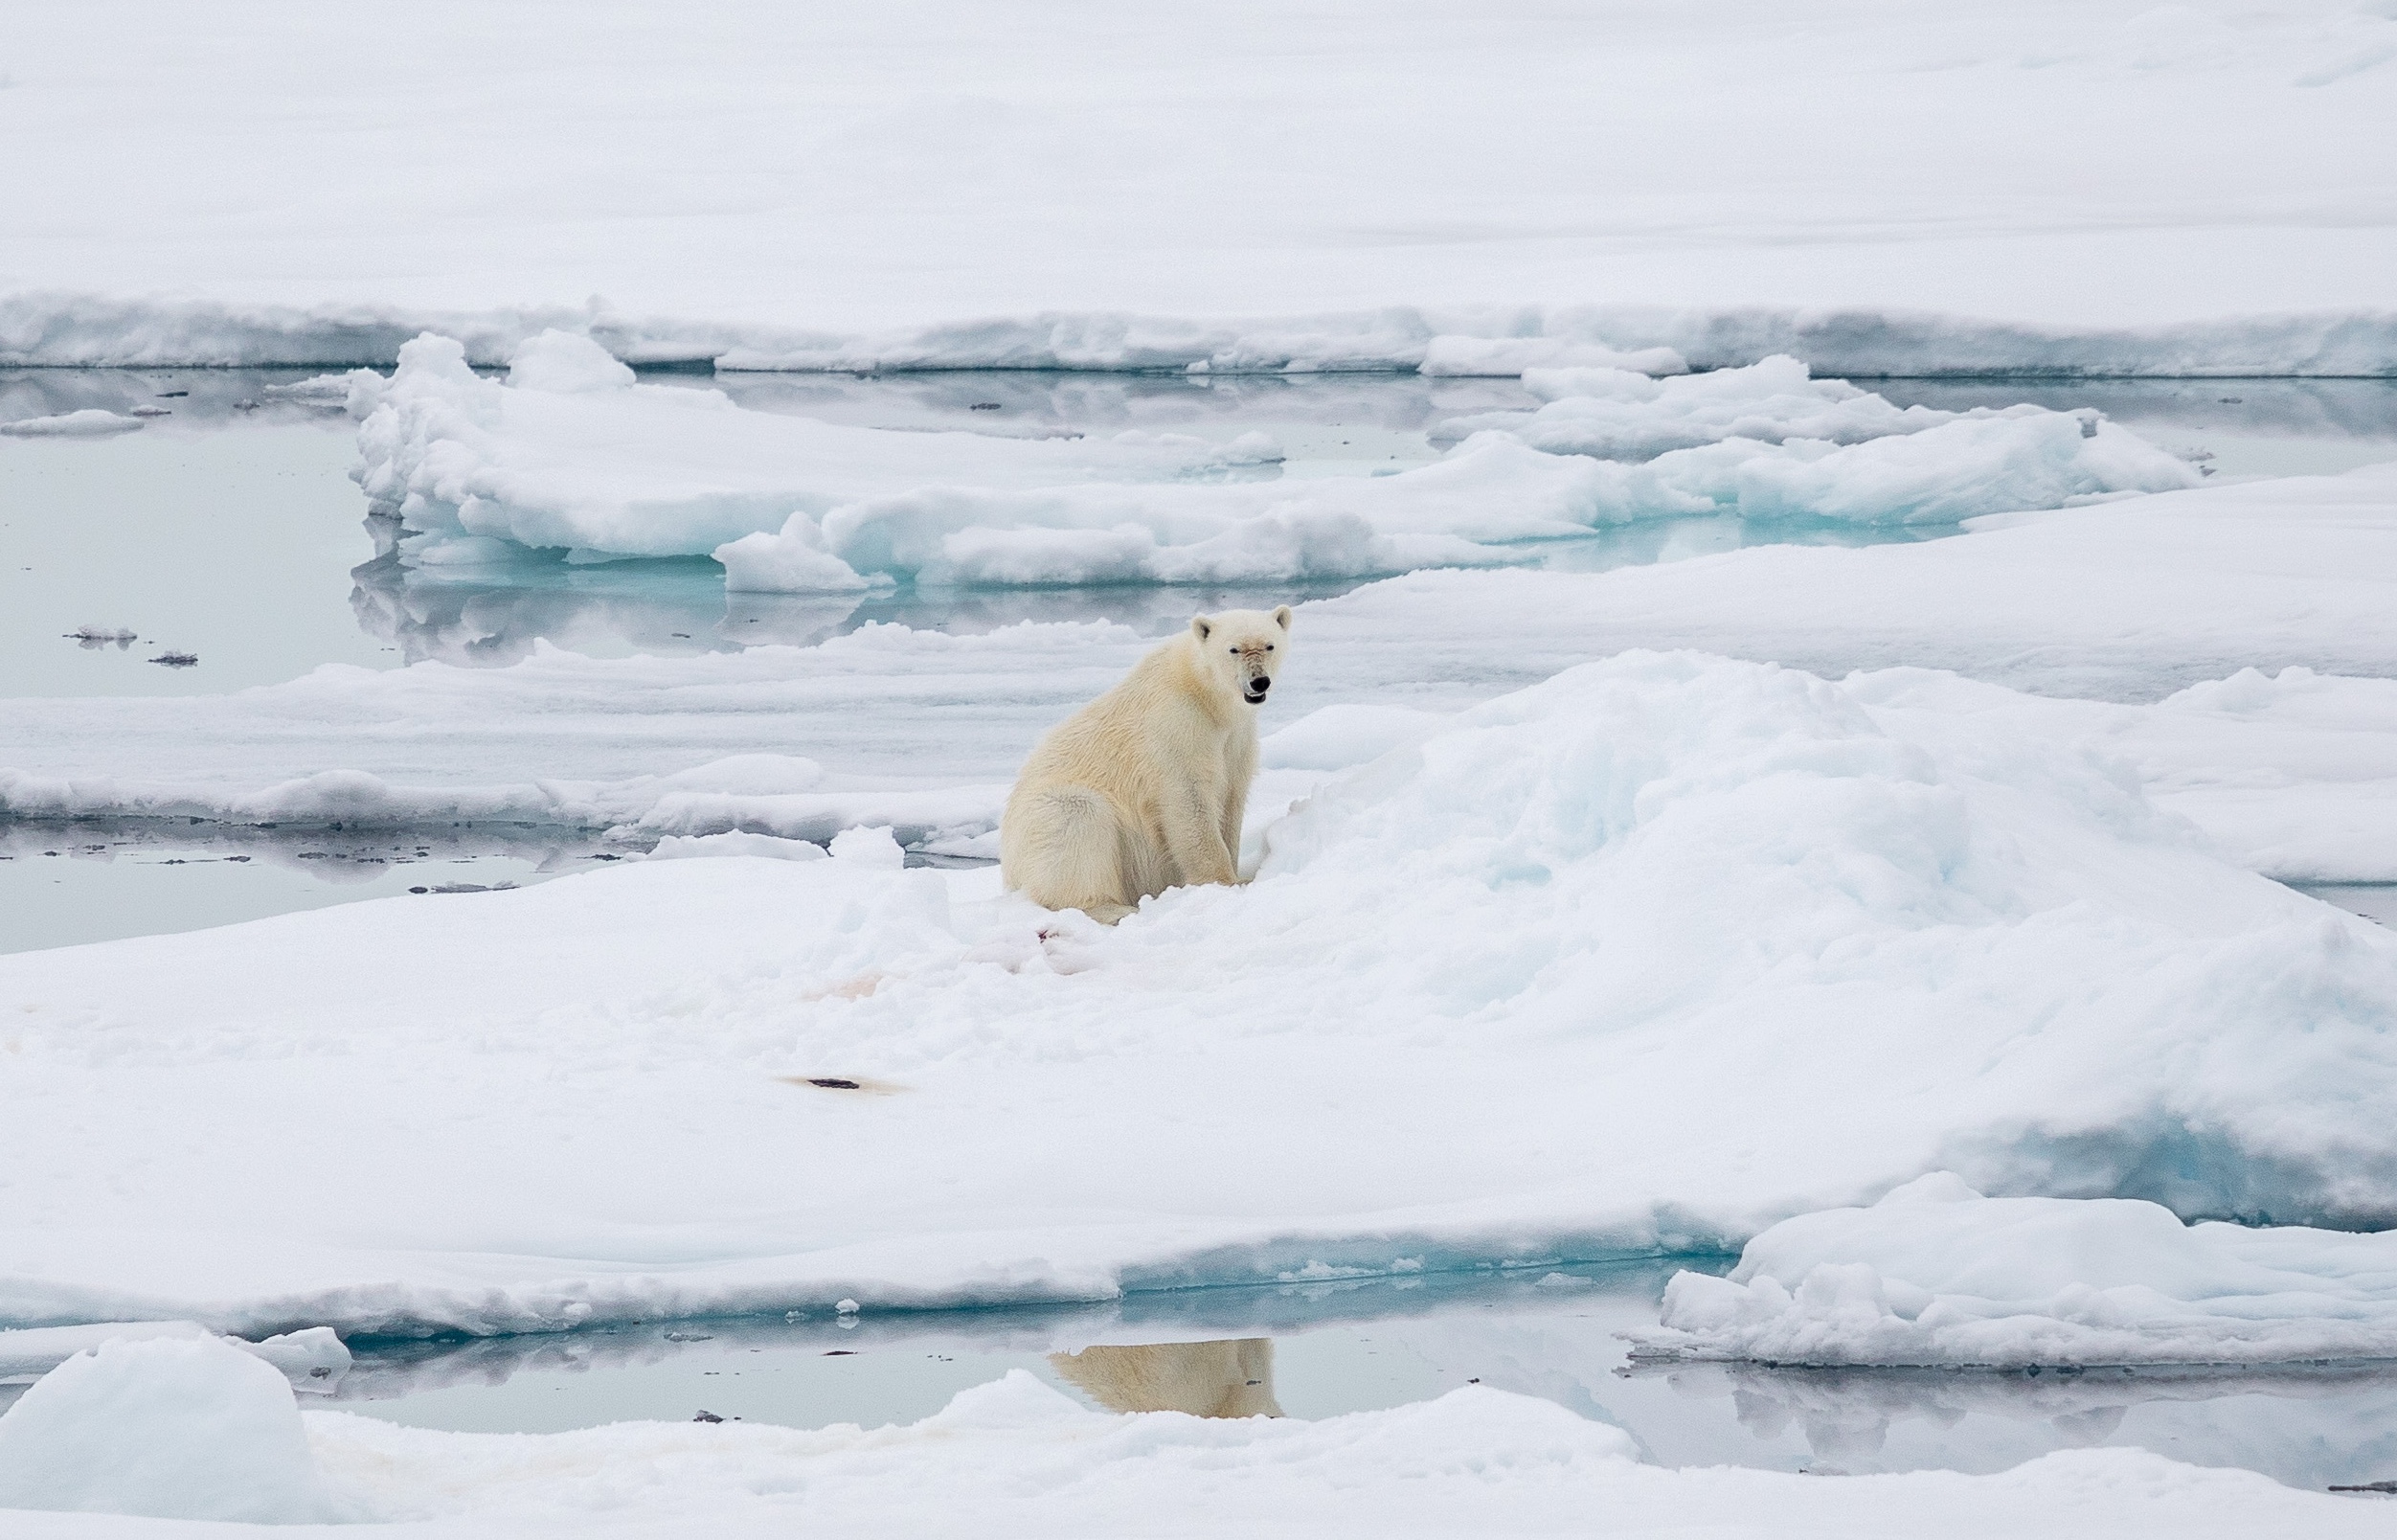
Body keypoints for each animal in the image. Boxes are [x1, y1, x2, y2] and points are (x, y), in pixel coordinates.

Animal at [1001, 606, 1291, 924]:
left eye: (1269, 646)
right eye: (1233, 649)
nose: (1258, 681)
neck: (1204, 694)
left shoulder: (1237, 739)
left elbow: (1231, 797)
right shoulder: (1176, 727)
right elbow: (1190, 801)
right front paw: (1225, 882)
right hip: (1047, 816)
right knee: (1077, 821)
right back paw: (1114, 908)